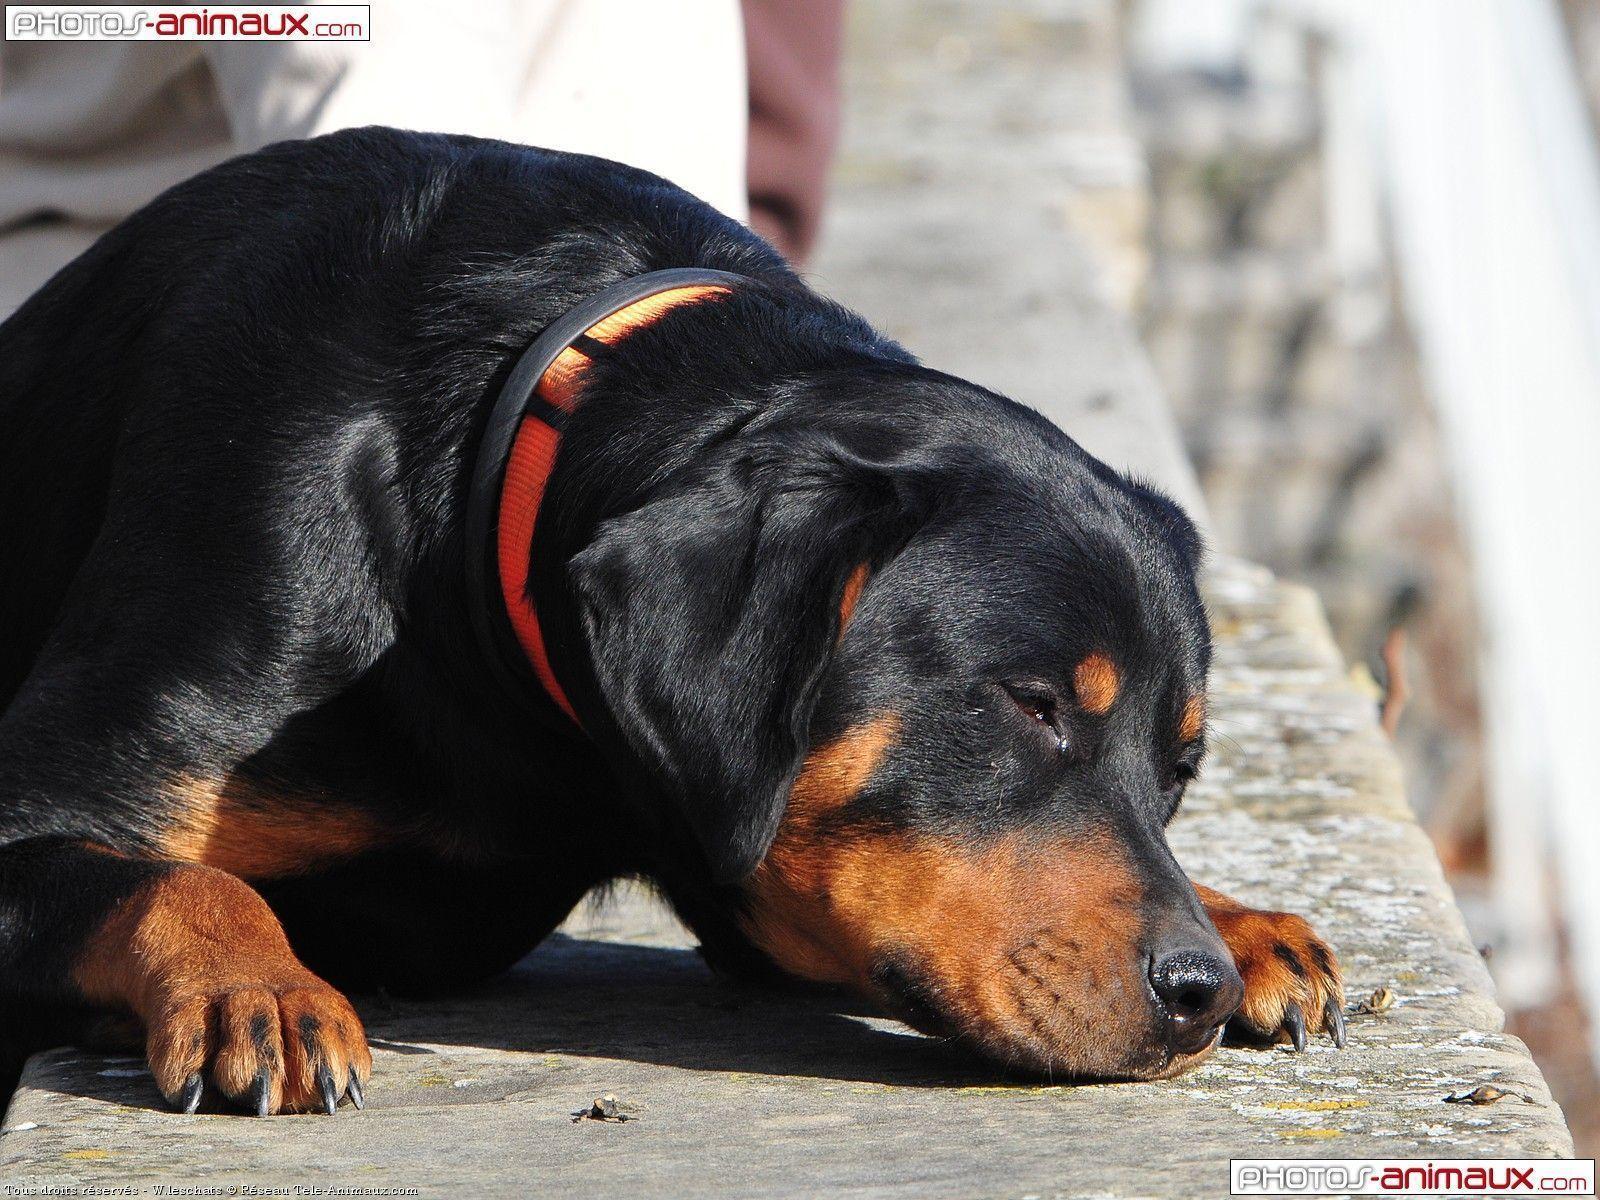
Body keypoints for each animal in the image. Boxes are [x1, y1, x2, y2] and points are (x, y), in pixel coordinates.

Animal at [0, 124, 1344, 1120]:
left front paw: (1240, 919)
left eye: (1180, 769)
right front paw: (256, 983)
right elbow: (170, 882)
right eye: (1031, 706)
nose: (1194, 991)